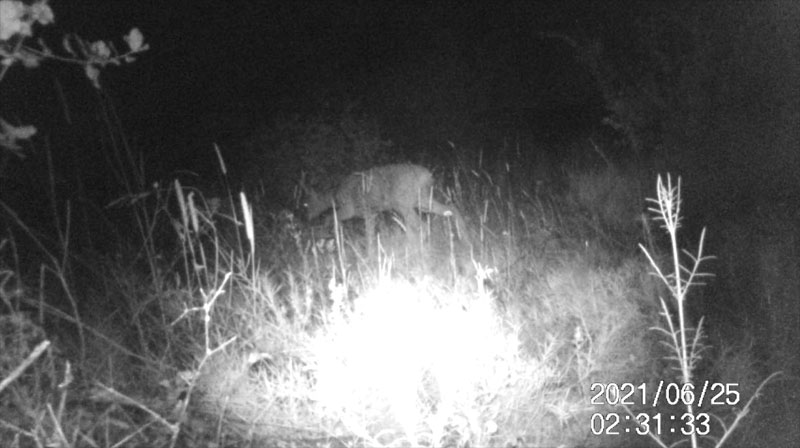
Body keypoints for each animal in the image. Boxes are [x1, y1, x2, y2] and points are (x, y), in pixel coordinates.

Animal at [300, 164, 466, 248]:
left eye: (306, 204)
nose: (306, 217)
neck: (334, 196)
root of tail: (428, 176)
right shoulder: (371, 213)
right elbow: (370, 233)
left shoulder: (351, 209)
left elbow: (330, 218)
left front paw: (324, 239)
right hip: (422, 200)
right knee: (451, 208)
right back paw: (464, 236)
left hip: (404, 203)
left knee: (422, 226)